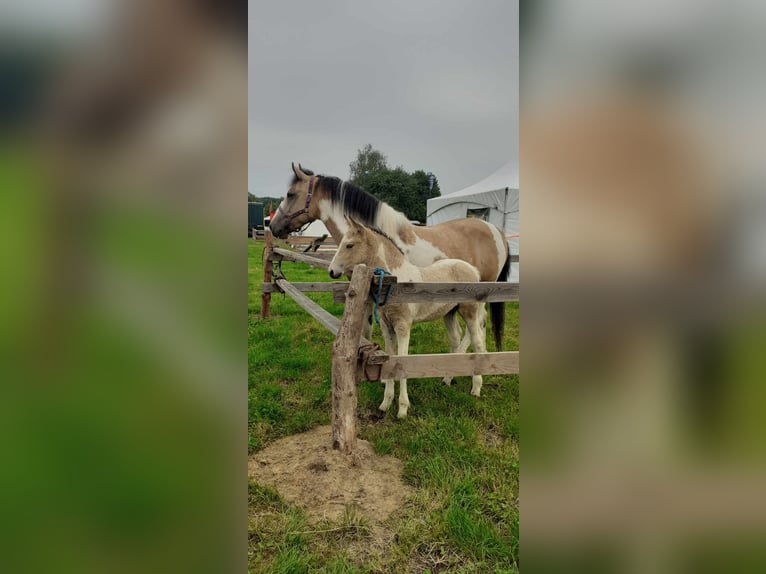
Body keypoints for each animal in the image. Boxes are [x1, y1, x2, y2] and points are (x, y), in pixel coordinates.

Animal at [329, 218, 488, 419]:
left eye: (349, 245)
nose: (331, 271)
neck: (395, 282)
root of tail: (473, 269)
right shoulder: (387, 327)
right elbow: (391, 359)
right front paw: (385, 403)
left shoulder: (403, 326)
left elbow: (402, 361)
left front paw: (402, 408)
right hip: (449, 313)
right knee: (456, 338)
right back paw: (447, 378)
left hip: (470, 312)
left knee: (477, 340)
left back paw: (476, 388)